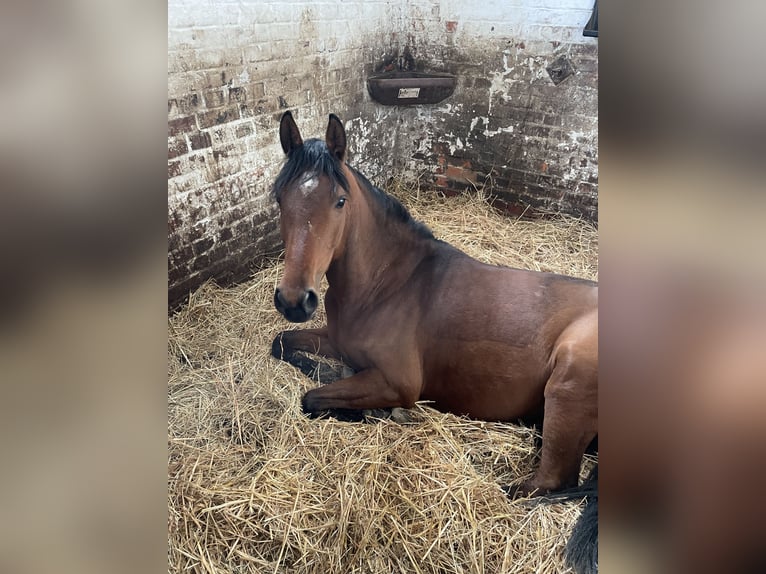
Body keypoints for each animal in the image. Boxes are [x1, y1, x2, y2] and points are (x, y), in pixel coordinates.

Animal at [270, 111, 600, 504]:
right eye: (279, 198)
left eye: (339, 201)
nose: (294, 300)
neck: (386, 284)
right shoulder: (336, 340)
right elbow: (282, 344)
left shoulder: (398, 383)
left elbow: (311, 398)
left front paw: (376, 411)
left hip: (567, 385)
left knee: (545, 484)